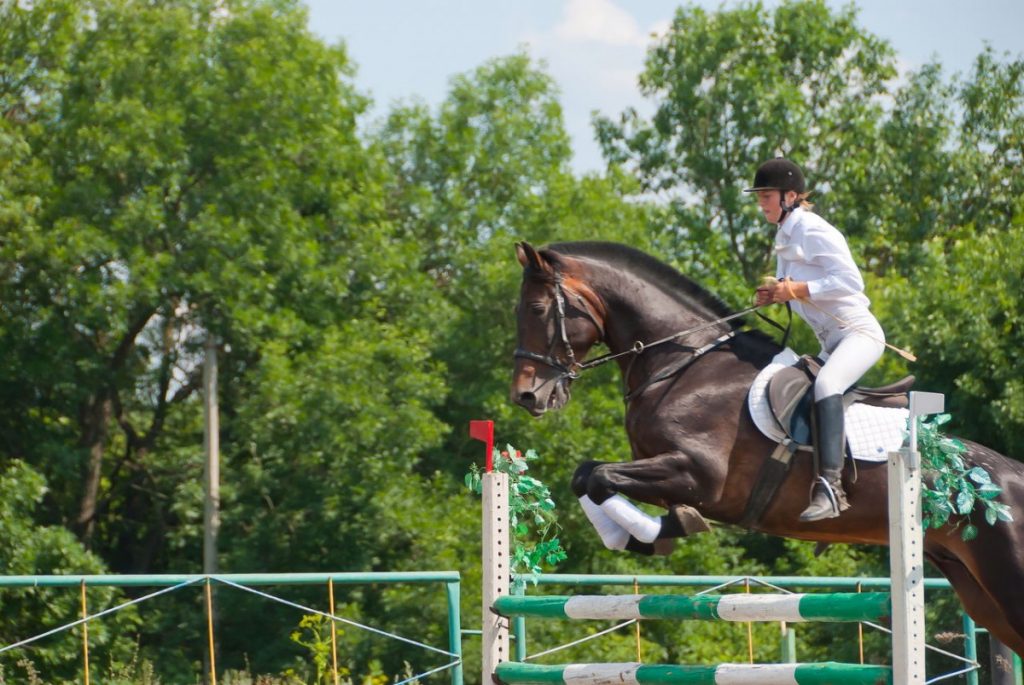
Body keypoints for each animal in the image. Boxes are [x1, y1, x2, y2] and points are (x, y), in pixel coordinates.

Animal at [509, 239, 1024, 651]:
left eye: (536, 311)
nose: (525, 396)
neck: (683, 364)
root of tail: (1009, 475)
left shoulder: (698, 475)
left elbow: (599, 477)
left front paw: (657, 530)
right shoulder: (662, 469)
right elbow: (585, 475)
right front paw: (647, 533)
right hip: (980, 594)